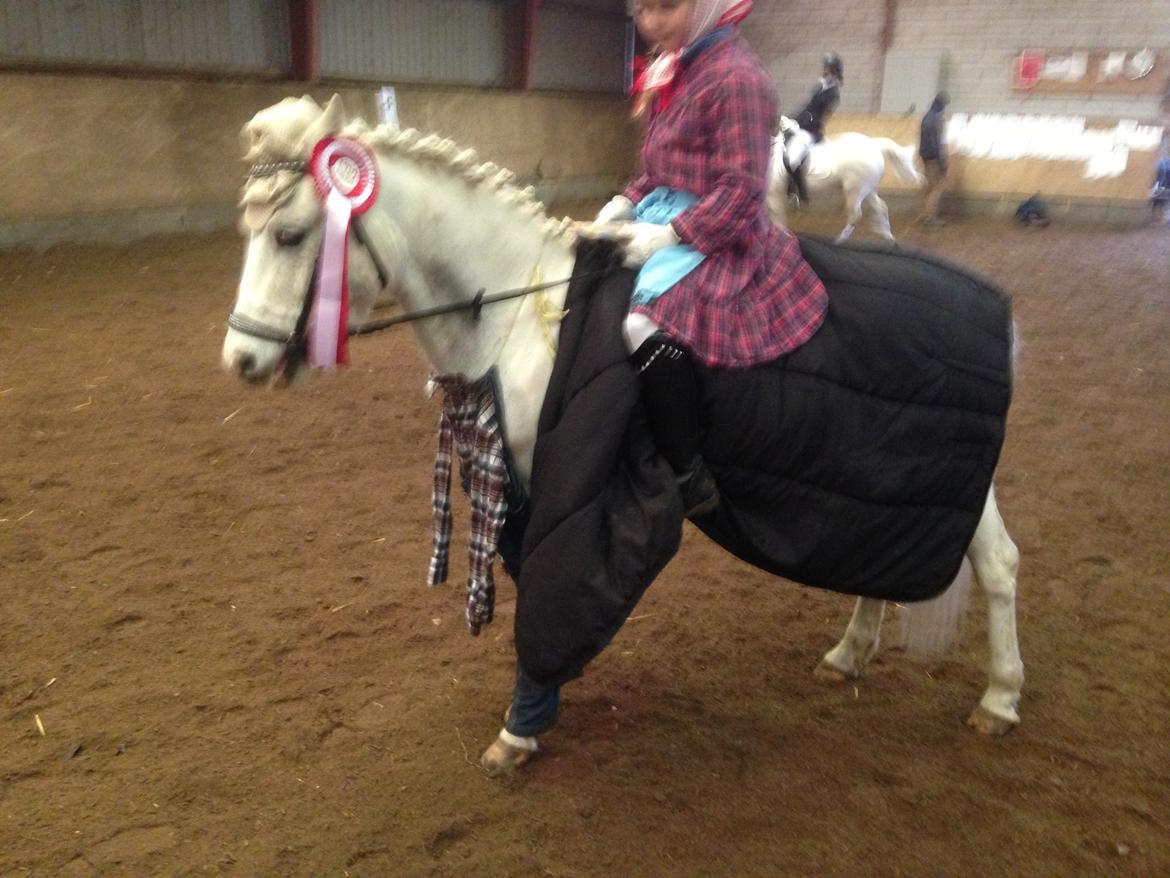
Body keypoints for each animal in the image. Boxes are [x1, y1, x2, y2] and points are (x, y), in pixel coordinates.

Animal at [769, 118, 925, 243]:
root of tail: (874, 144)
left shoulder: (774, 195)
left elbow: (776, 218)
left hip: (855, 190)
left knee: (856, 215)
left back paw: (840, 240)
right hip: (868, 189)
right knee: (881, 207)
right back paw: (887, 236)